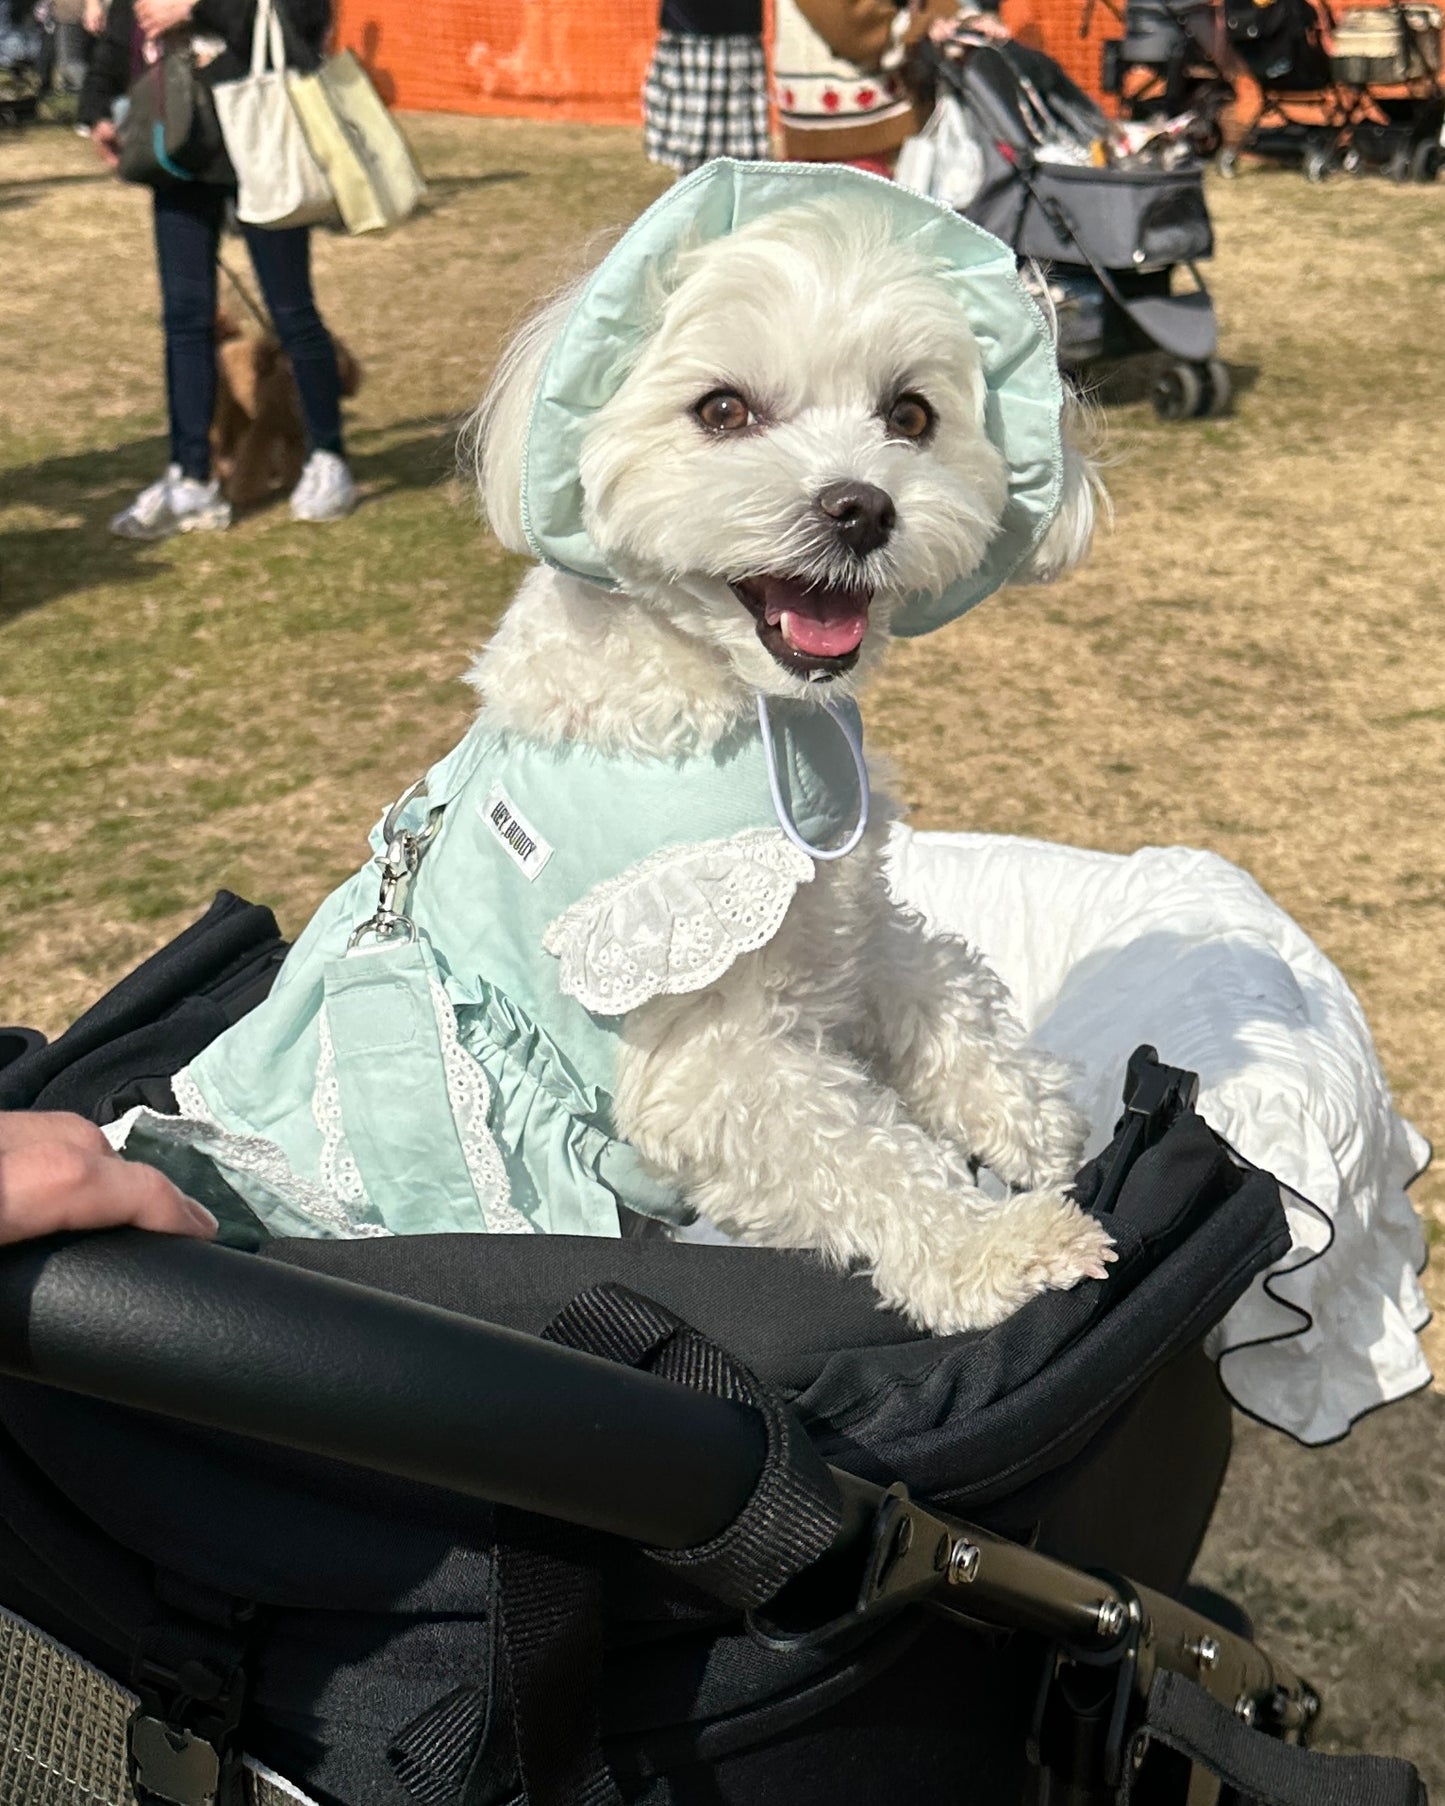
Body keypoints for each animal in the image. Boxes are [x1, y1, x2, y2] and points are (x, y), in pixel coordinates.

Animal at [211, 310, 364, 509]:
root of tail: (225, 344)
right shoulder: (262, 430)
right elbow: (251, 462)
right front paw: (244, 494)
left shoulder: (295, 436)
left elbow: (294, 458)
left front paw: (295, 481)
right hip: (223, 416)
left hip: (241, 417)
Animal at [466, 190, 1119, 1336]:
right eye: (722, 411)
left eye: (909, 416)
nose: (860, 507)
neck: (740, 707)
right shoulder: (704, 1051)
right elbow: (860, 1157)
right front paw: (996, 1245)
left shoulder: (832, 915)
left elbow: (930, 974)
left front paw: (1019, 1105)